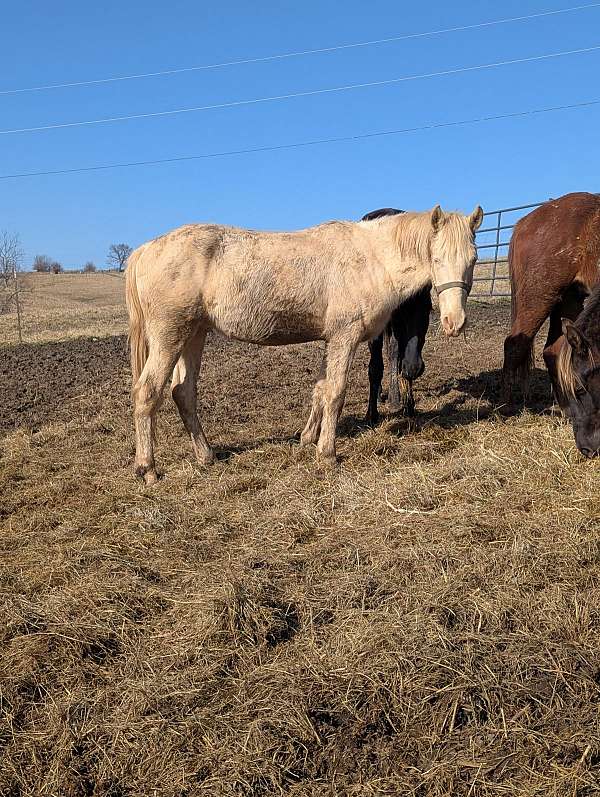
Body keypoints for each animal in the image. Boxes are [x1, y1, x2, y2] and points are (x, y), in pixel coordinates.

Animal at [360, 208, 432, 426]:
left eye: (428, 310)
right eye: (399, 307)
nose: (415, 368)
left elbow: (399, 358)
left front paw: (409, 405)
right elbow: (375, 367)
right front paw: (371, 415)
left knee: (393, 354)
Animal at [502, 192, 600, 404]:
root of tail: (524, 222)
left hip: (567, 301)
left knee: (552, 351)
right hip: (539, 297)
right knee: (514, 345)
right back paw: (504, 405)